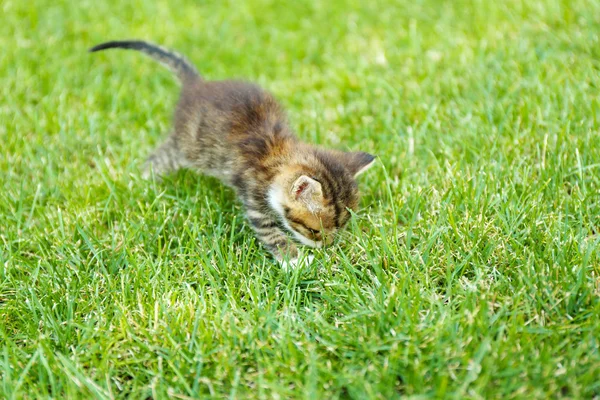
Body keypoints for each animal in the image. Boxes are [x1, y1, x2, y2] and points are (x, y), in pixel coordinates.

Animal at [89, 40, 376, 268]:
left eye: (342, 226)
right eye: (314, 230)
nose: (327, 246)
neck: (279, 156)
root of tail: (197, 85)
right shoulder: (254, 197)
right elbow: (271, 233)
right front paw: (294, 260)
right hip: (185, 147)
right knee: (159, 158)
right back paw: (143, 179)